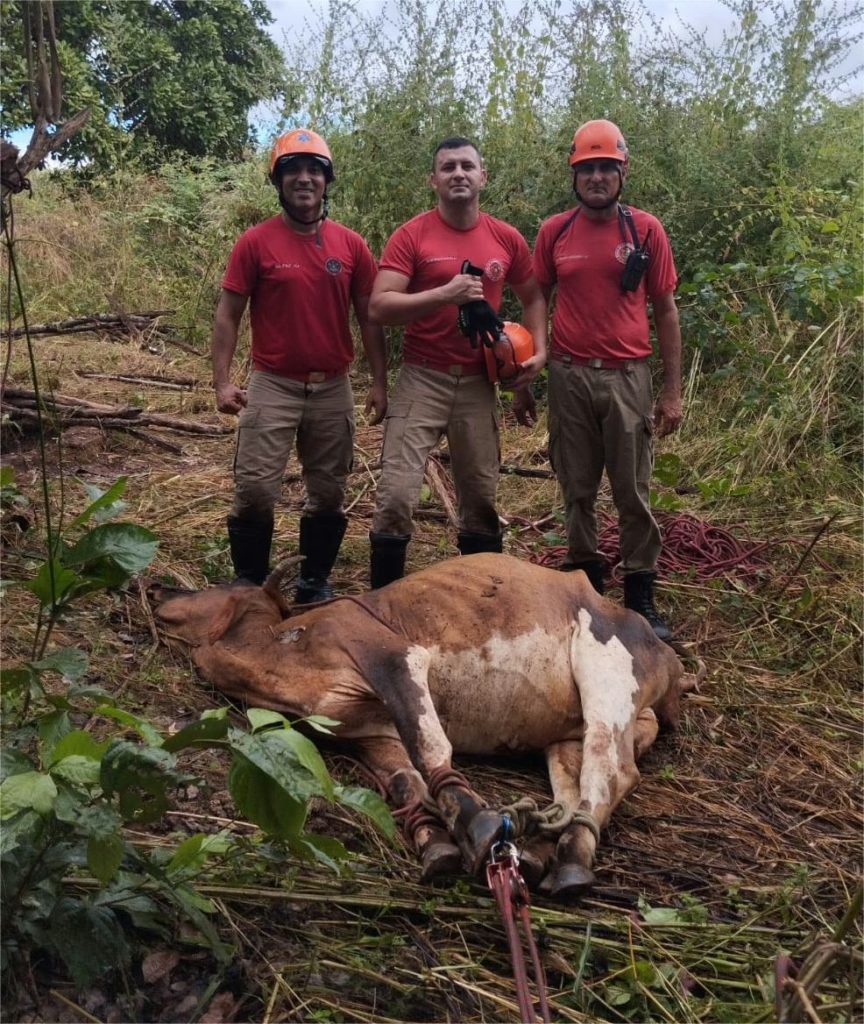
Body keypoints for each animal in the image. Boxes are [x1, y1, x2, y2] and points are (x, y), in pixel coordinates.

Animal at [150, 552, 700, 897]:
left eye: (227, 585)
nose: (160, 587)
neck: (282, 645)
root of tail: (673, 663)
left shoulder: (394, 658)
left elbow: (429, 746)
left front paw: (477, 824)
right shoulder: (368, 729)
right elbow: (403, 780)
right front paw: (435, 841)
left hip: (607, 668)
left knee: (610, 771)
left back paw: (564, 862)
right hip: (570, 734)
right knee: (576, 788)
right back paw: (552, 854)